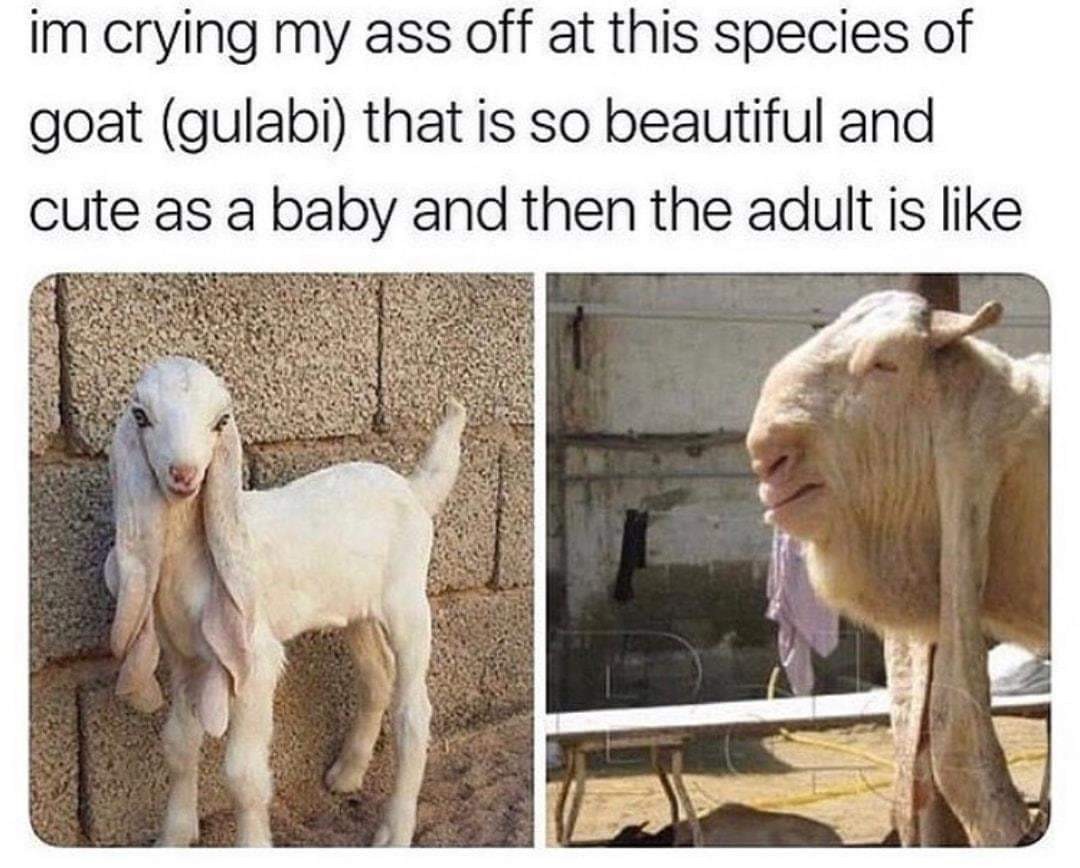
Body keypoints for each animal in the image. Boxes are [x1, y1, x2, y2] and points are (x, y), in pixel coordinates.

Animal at [103, 356, 466, 846]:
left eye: (221, 421)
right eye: (140, 416)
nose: (184, 475)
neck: (193, 554)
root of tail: (413, 489)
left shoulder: (253, 658)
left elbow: (243, 776)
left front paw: (252, 842)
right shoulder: (185, 656)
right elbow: (178, 745)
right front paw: (173, 838)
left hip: (408, 600)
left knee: (413, 713)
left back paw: (394, 831)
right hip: (356, 609)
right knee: (376, 677)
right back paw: (347, 775)